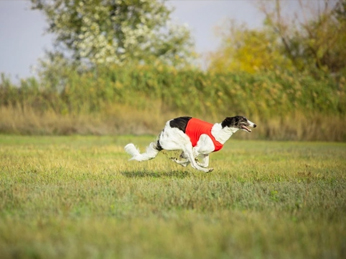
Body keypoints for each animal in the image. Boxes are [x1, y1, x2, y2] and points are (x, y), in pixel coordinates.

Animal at [123, 116, 255, 173]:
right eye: (244, 120)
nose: (255, 125)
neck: (220, 132)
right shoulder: (196, 149)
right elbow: (191, 162)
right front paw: (191, 163)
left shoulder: (205, 153)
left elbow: (202, 162)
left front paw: (184, 162)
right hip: (184, 142)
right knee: (191, 162)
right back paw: (205, 170)